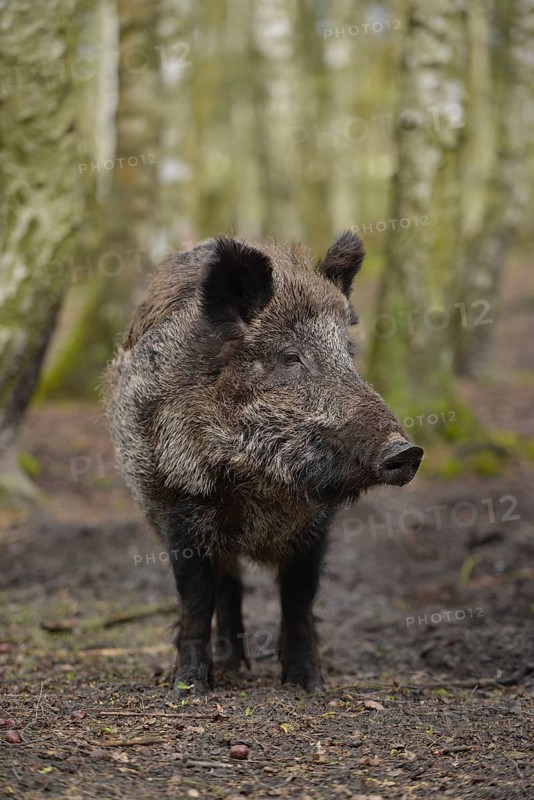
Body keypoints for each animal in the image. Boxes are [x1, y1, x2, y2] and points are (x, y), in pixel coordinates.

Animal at [105, 232, 423, 694]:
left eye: (347, 353)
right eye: (290, 357)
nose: (406, 451)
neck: (258, 484)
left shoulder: (315, 524)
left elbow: (298, 597)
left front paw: (309, 685)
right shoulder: (176, 503)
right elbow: (196, 598)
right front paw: (190, 688)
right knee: (228, 584)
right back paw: (233, 668)